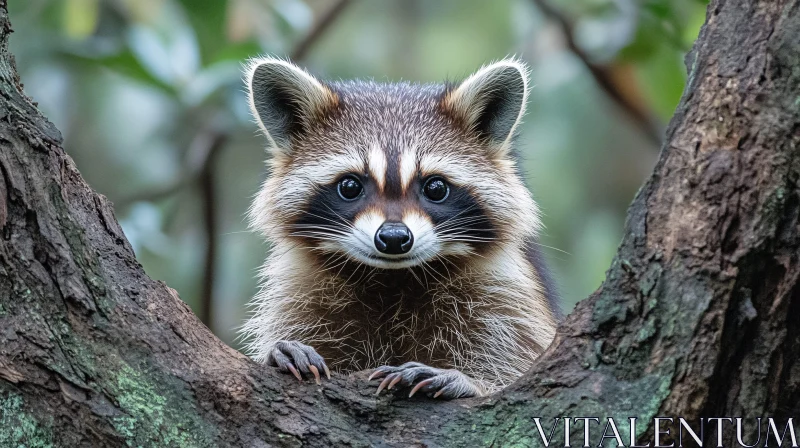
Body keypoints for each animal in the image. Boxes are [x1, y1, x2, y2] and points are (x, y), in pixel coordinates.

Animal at [241, 57, 560, 400]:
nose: (393, 238)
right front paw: (278, 352)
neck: (393, 278)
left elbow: (518, 364)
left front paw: (469, 381)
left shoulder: (504, 293)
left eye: (435, 188)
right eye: (350, 186)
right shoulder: (302, 288)